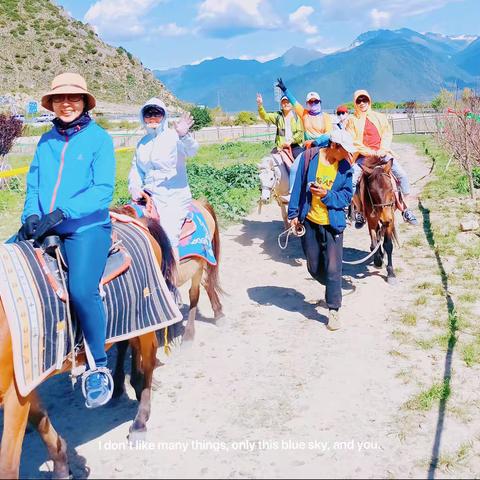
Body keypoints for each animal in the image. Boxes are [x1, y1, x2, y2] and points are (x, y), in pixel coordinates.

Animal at [0, 218, 176, 480]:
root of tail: (136, 220)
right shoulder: (23, 384)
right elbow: (42, 422)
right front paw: (62, 468)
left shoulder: (14, 396)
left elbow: (8, 465)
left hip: (147, 318)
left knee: (149, 361)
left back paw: (140, 421)